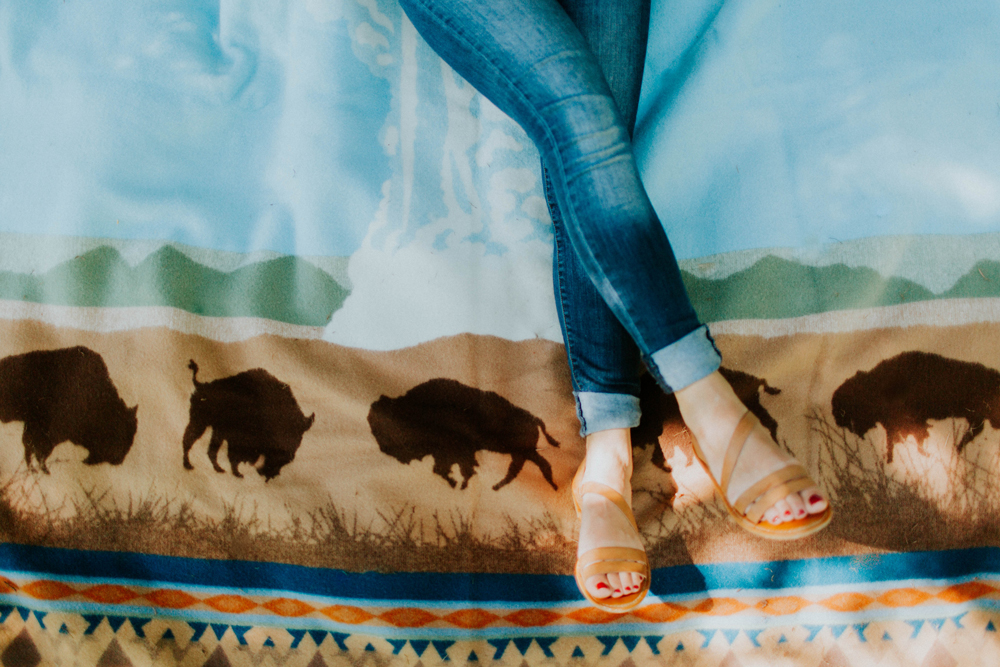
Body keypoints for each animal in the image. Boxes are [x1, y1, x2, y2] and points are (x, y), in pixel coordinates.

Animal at [182, 360, 314, 480]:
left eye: (297, 440)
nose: (268, 474)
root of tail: (200, 385)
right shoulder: (236, 438)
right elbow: (233, 456)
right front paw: (238, 474)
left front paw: (237, 473)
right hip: (200, 422)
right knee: (189, 441)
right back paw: (188, 465)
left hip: (213, 429)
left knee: (210, 450)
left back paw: (218, 469)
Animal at [370, 378, 564, 494]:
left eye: (383, 429)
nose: (384, 449)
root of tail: (534, 418)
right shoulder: (446, 453)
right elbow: (444, 469)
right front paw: (457, 483)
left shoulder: (455, 451)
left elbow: (458, 468)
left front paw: (459, 484)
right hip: (523, 453)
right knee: (529, 467)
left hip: (523, 452)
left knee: (528, 467)